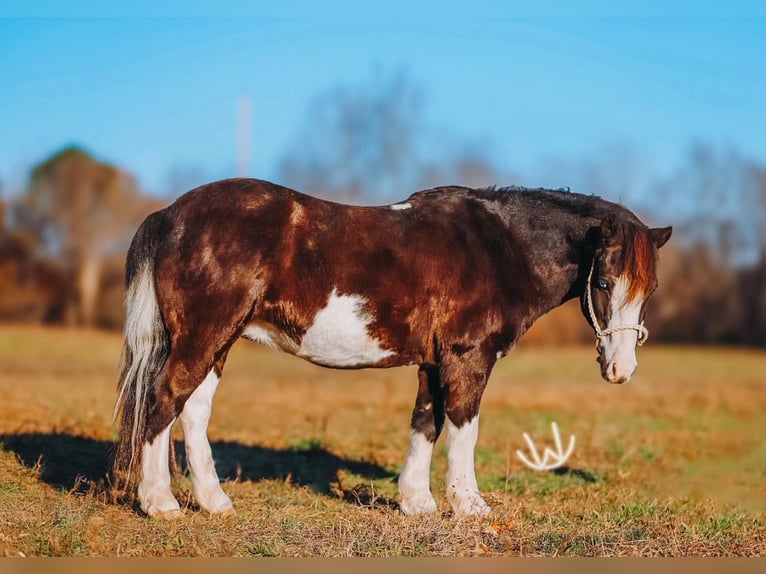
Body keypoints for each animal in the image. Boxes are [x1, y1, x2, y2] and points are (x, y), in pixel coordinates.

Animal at [112, 178, 671, 518]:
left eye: (649, 291)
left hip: (219, 342)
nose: (621, 369)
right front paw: (469, 506)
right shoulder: (468, 359)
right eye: (603, 283)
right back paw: (159, 502)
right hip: (203, 337)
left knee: (193, 413)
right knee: (162, 402)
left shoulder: (432, 363)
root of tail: (170, 213)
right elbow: (464, 428)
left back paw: (213, 502)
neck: (499, 247)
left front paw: (416, 502)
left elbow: (426, 423)